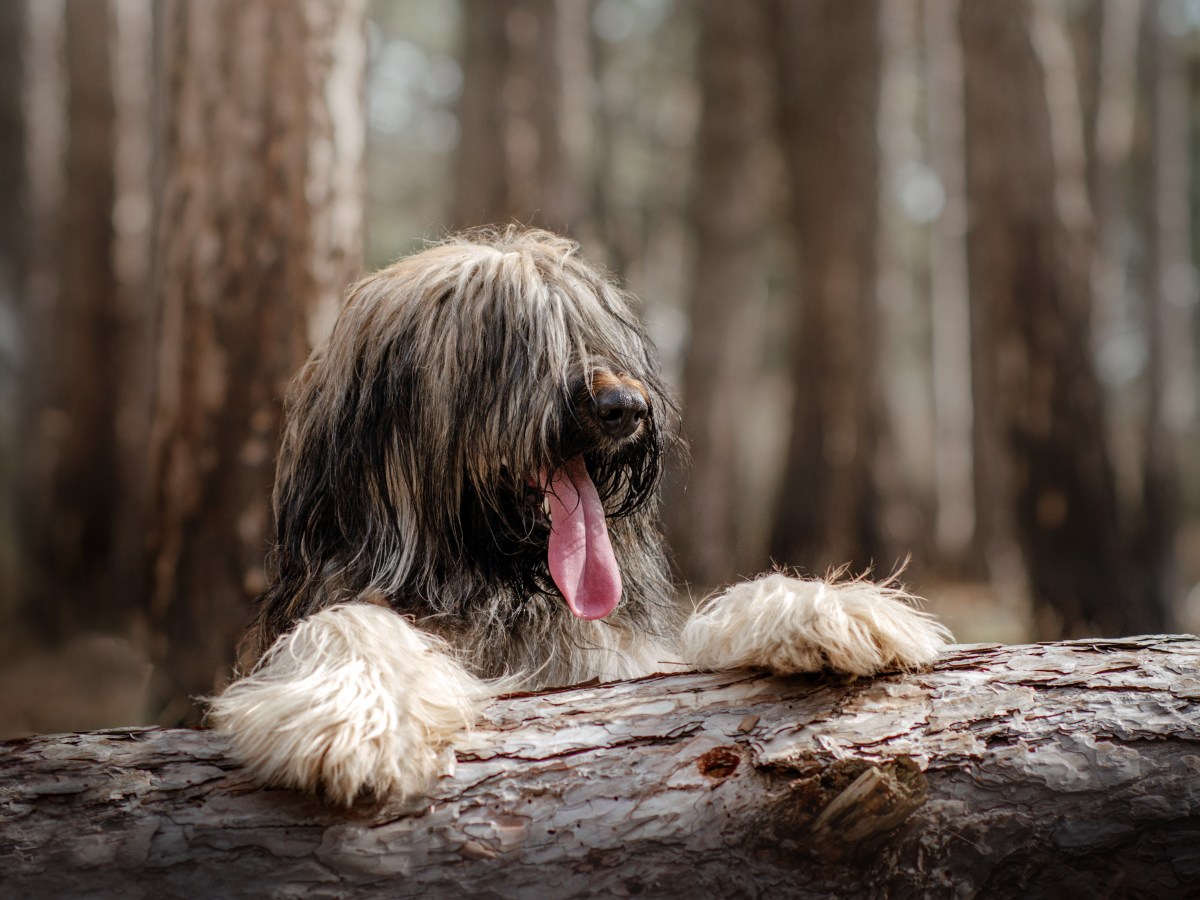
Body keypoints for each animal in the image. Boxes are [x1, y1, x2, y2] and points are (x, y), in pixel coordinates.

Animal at [211, 229, 950, 806]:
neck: (502, 590)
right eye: (508, 341)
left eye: (592, 331)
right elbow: (348, 620)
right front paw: (351, 713)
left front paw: (826, 609)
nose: (627, 407)